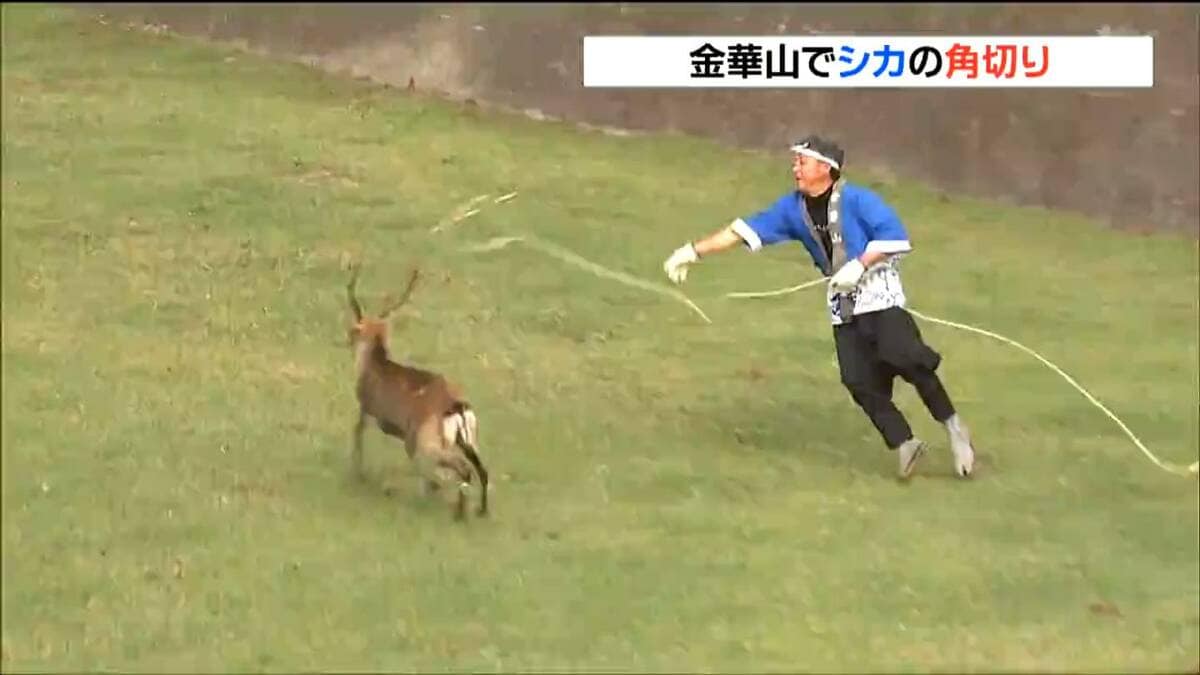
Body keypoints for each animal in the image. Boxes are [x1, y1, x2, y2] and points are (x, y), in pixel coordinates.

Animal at [345, 263, 489, 521]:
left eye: (356, 329)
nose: (347, 339)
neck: (375, 364)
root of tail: (458, 408)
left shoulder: (367, 409)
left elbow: (357, 433)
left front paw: (359, 475)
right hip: (468, 440)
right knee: (481, 469)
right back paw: (480, 511)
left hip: (431, 443)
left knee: (462, 470)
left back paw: (457, 511)